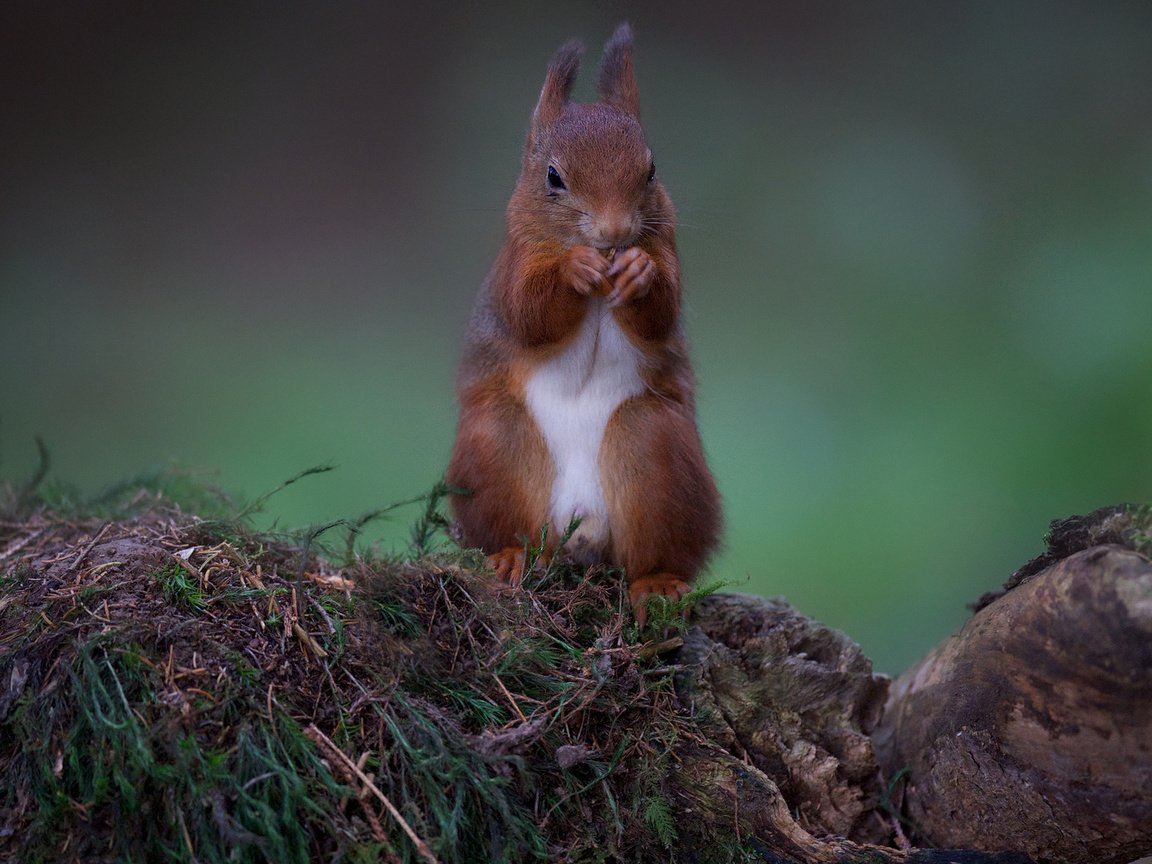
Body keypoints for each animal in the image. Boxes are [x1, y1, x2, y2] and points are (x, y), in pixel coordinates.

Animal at [446, 25, 718, 622]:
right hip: (496, 447)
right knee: (510, 526)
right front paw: (575, 269)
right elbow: (528, 314)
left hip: (655, 453)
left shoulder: (669, 249)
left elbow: (661, 314)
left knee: (654, 548)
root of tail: (581, 527)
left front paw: (637, 272)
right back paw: (508, 558)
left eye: (651, 169)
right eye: (553, 176)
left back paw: (656, 583)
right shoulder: (516, 263)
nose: (614, 233)